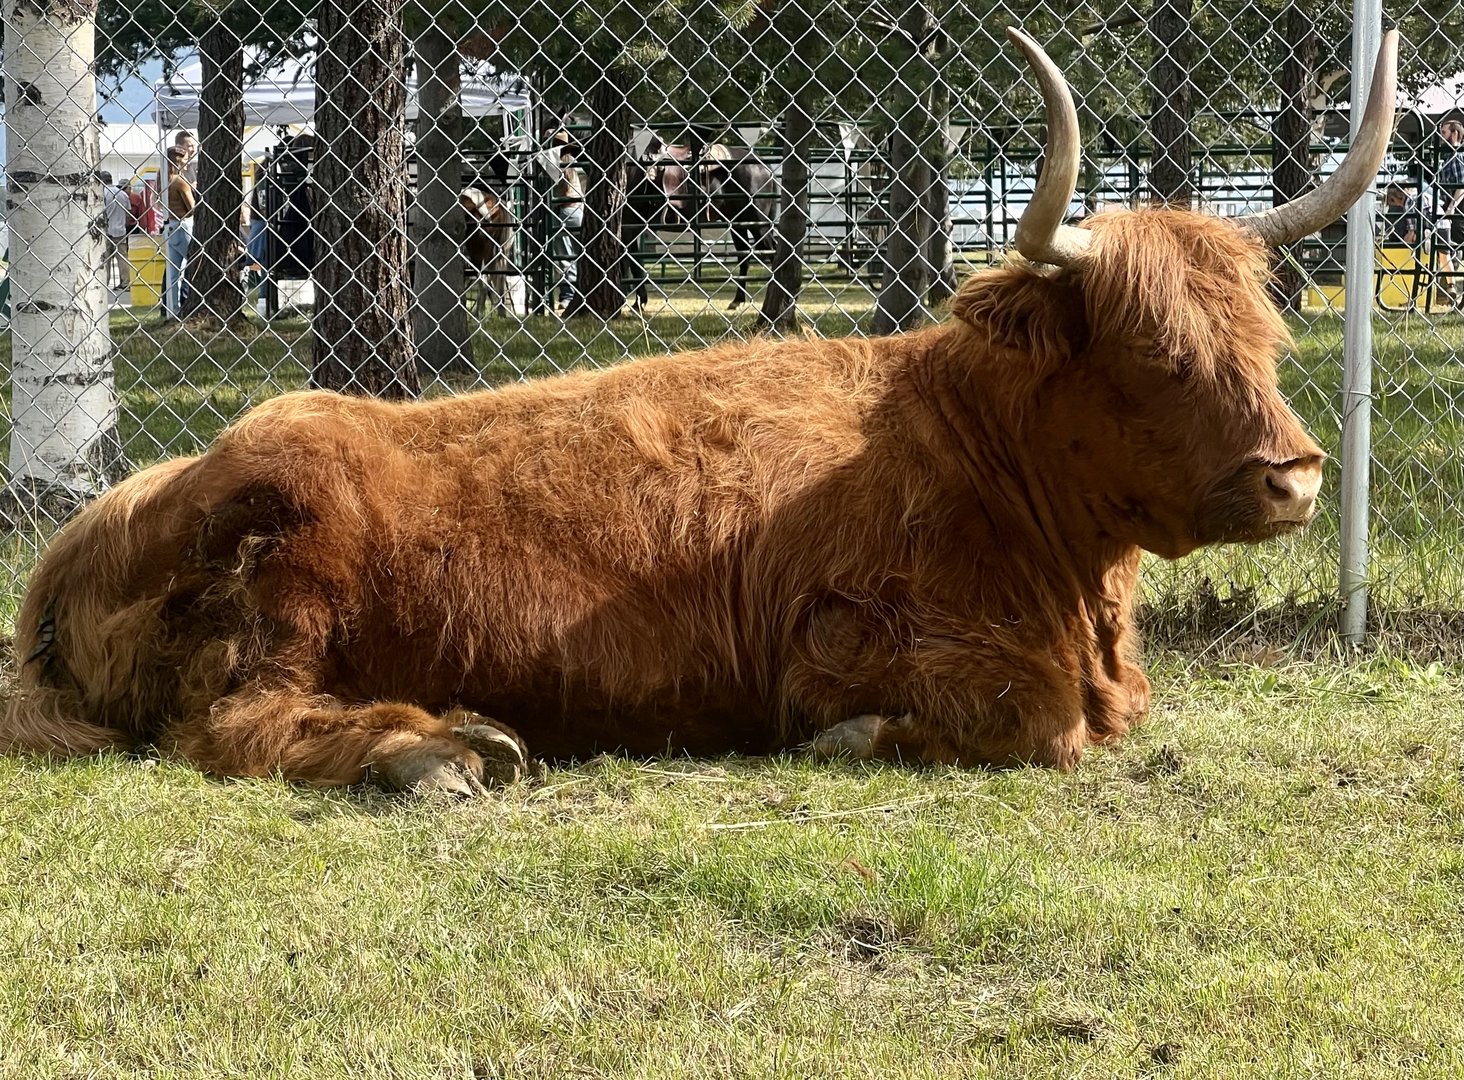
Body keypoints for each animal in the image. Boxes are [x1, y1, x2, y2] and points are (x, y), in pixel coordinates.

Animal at [0, 29, 1398, 795]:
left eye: (1262, 336)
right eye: (1154, 352)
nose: (1295, 476)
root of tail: (96, 526)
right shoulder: (838, 640)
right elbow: (1028, 721)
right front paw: (851, 740)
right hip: (283, 593)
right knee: (238, 723)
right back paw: (438, 754)